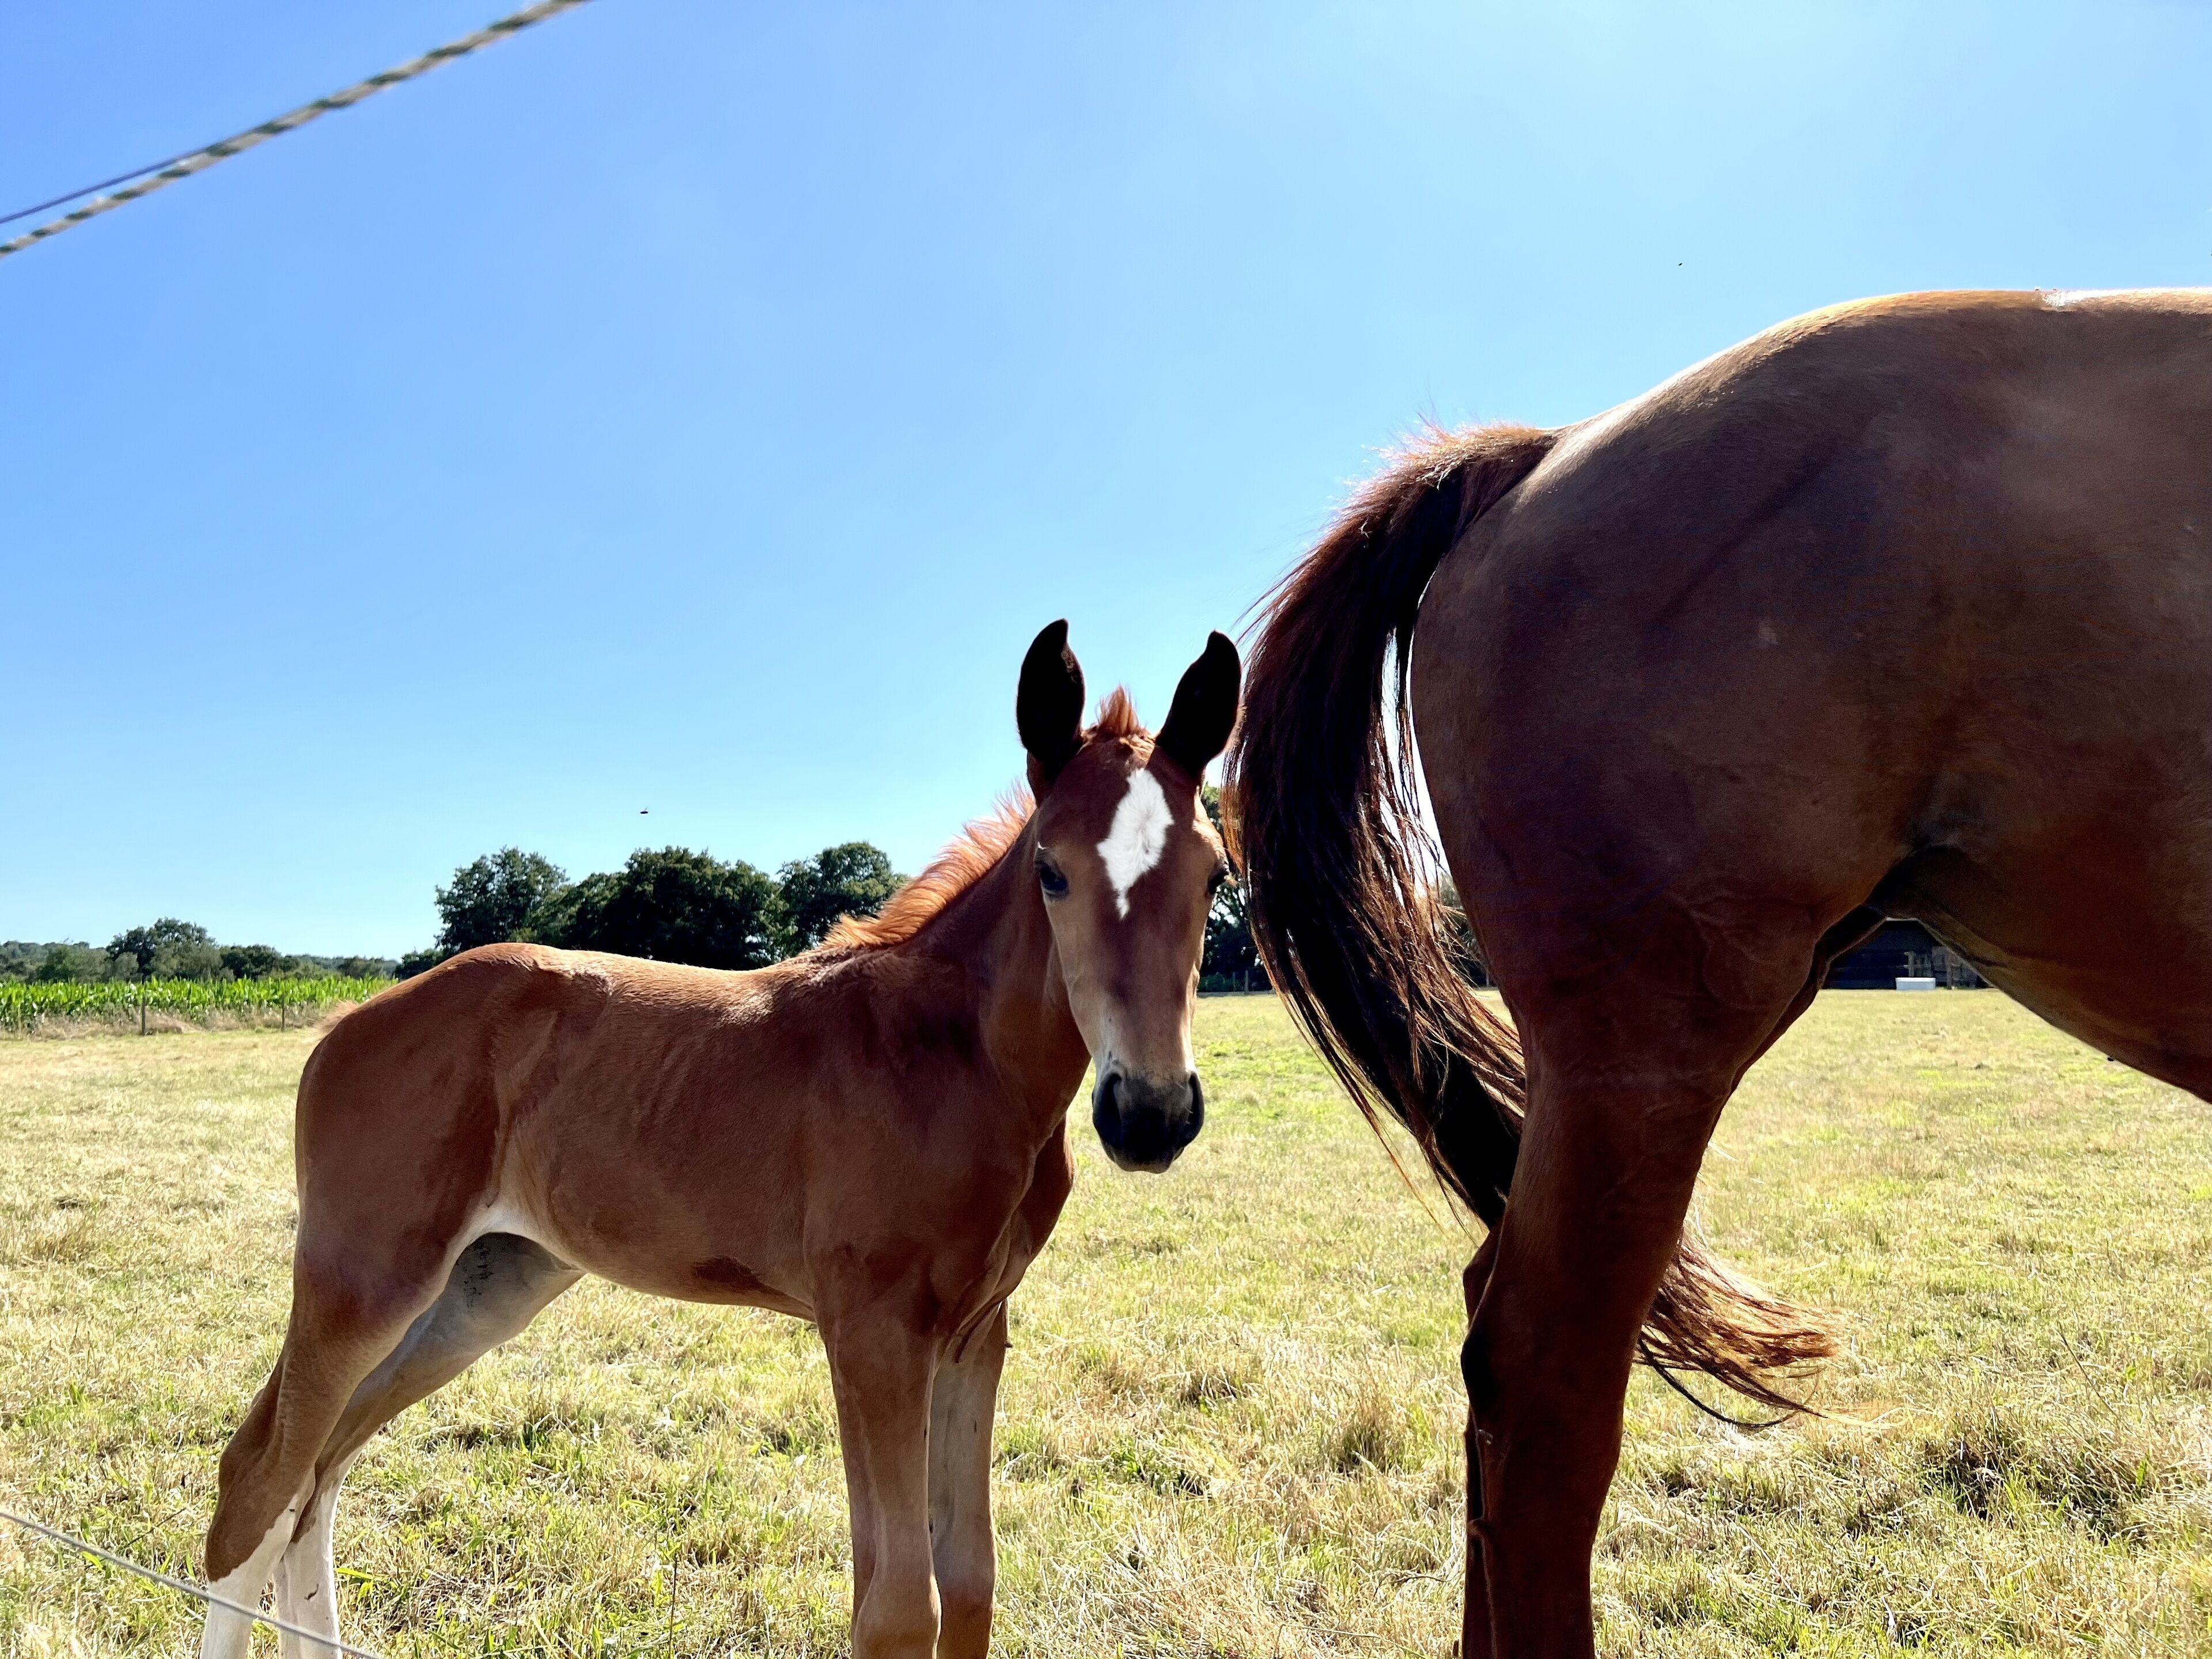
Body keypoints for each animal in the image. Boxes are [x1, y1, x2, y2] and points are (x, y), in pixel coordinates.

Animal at [197, 620, 1243, 1659]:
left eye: (1215, 875)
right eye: (1051, 869)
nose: (1151, 1114)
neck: (952, 1059)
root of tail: (344, 1022)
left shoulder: (975, 1336)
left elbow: (971, 1585)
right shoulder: (873, 1332)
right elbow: (899, 1606)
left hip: (480, 1288)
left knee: (316, 1479)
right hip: (362, 1281)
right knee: (259, 1480)